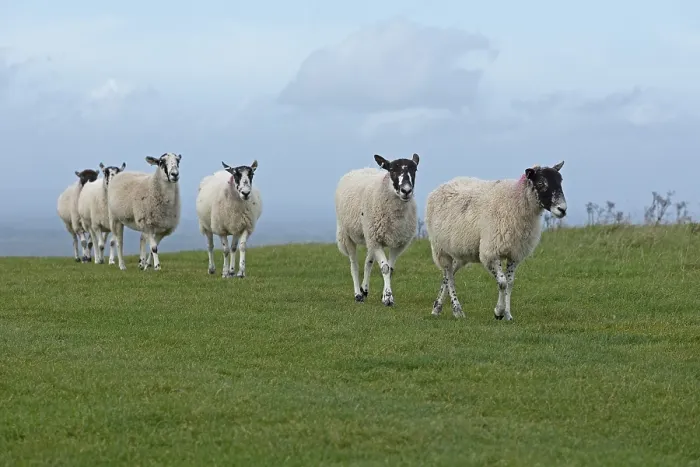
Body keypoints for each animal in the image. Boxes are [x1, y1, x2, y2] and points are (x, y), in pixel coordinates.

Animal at [334, 153, 420, 306]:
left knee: (367, 263)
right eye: (392, 170)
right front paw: (388, 298)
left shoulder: (398, 243)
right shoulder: (376, 239)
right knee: (354, 265)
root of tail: (362, 168)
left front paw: (385, 294)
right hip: (348, 235)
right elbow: (385, 268)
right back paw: (358, 294)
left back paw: (364, 289)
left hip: (370, 237)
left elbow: (390, 269)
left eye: (414, 170)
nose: (406, 191)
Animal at [425, 161, 567, 320]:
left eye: (560, 182)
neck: (516, 200)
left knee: (448, 274)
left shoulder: (514, 253)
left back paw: (437, 308)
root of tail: (442, 186)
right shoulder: (491, 251)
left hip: (461, 251)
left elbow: (509, 283)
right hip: (440, 248)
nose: (562, 209)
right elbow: (502, 282)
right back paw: (457, 310)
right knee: (449, 275)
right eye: (541, 183)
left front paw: (508, 314)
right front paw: (498, 311)